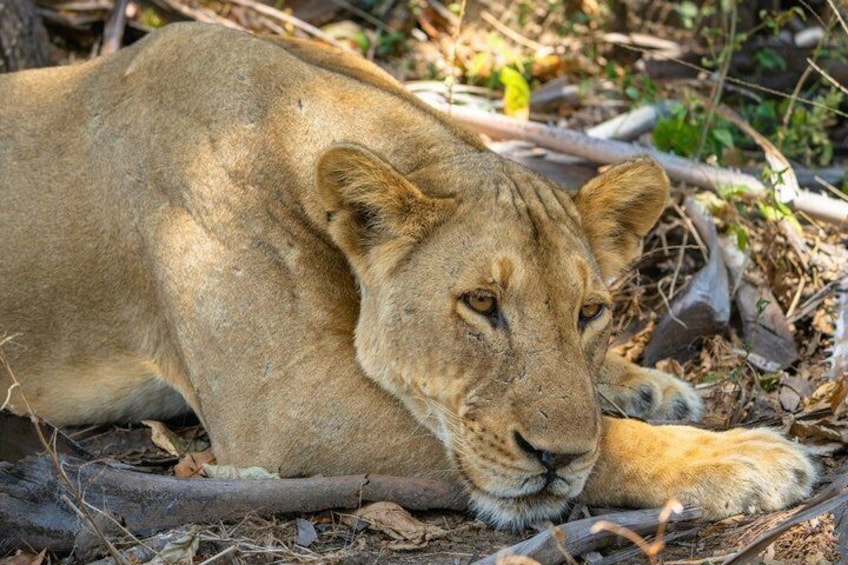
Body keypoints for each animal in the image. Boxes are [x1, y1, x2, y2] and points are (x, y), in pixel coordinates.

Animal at [0, 23, 814, 530]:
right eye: (481, 303)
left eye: (589, 312)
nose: (554, 458)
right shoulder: (283, 408)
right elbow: (601, 443)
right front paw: (742, 458)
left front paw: (649, 385)